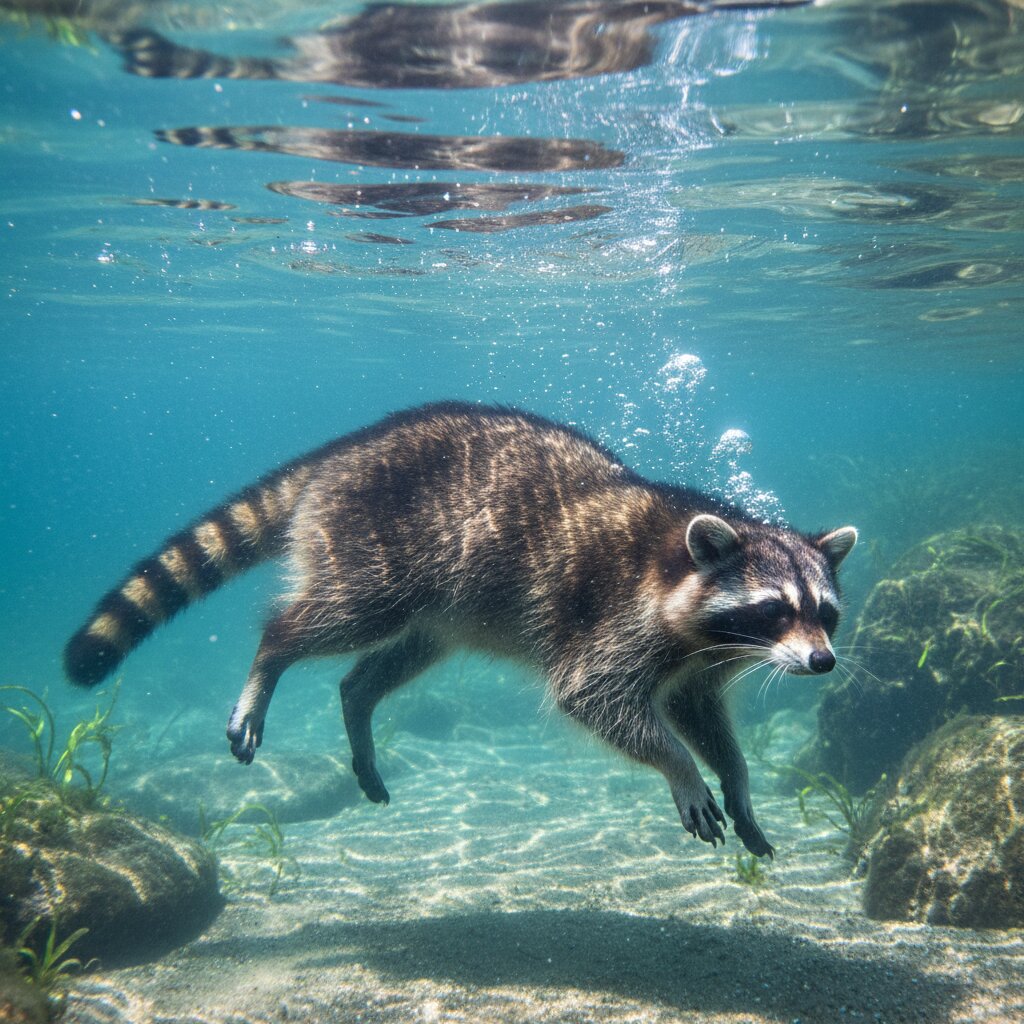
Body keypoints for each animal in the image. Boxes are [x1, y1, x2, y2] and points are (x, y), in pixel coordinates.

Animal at [64, 402, 856, 858]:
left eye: (825, 612)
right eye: (774, 609)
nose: (822, 663)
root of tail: (346, 449)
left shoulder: (696, 665)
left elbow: (701, 716)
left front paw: (736, 779)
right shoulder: (617, 620)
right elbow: (595, 698)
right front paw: (680, 767)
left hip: (442, 606)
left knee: (386, 662)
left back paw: (358, 706)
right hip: (377, 551)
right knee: (323, 621)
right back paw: (270, 661)